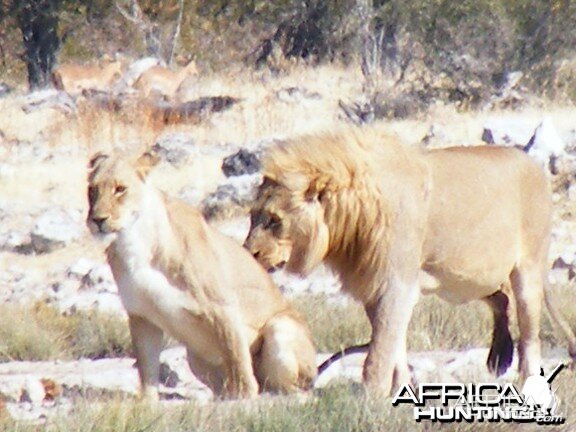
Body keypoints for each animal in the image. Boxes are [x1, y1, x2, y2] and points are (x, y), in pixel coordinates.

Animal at [88, 150, 318, 400]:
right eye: (92, 190)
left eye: (120, 189)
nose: (97, 220)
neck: (133, 240)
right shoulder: (142, 316)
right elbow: (146, 368)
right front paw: (146, 402)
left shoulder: (222, 308)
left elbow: (238, 360)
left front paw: (245, 398)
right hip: (194, 357)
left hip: (281, 329)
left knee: (288, 387)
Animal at [245, 128, 576, 394]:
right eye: (252, 216)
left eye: (274, 220)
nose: (250, 253)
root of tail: (533, 164)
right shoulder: (374, 285)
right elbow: (393, 343)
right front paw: (399, 389)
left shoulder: (396, 283)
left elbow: (380, 350)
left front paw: (371, 397)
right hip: (473, 274)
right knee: (500, 299)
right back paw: (499, 355)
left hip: (527, 268)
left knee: (529, 332)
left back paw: (527, 379)